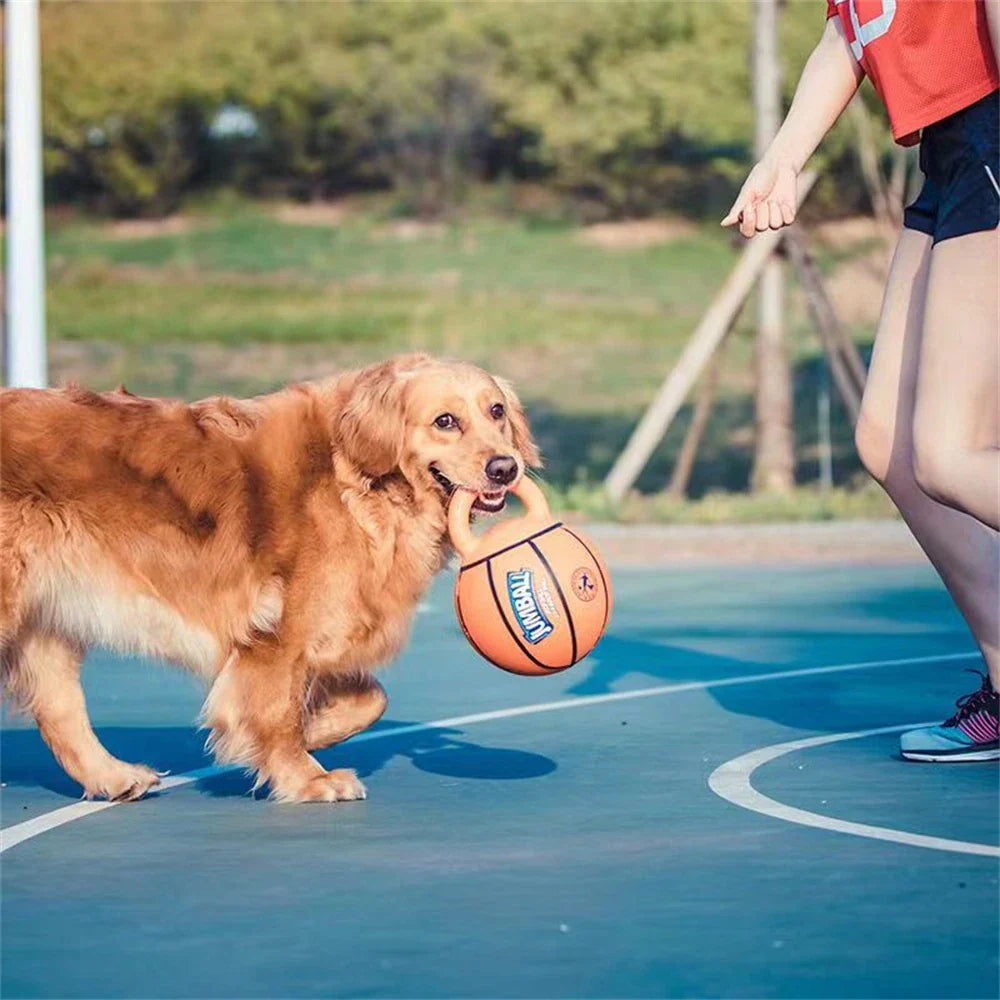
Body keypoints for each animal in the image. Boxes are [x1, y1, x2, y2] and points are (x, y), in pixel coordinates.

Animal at [1, 356, 540, 800]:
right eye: (445, 421)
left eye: (496, 411)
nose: (505, 468)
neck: (356, 481)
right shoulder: (278, 634)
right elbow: (278, 711)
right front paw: (306, 776)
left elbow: (371, 700)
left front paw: (311, 729)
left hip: (44, 621)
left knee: (60, 710)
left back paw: (113, 776)